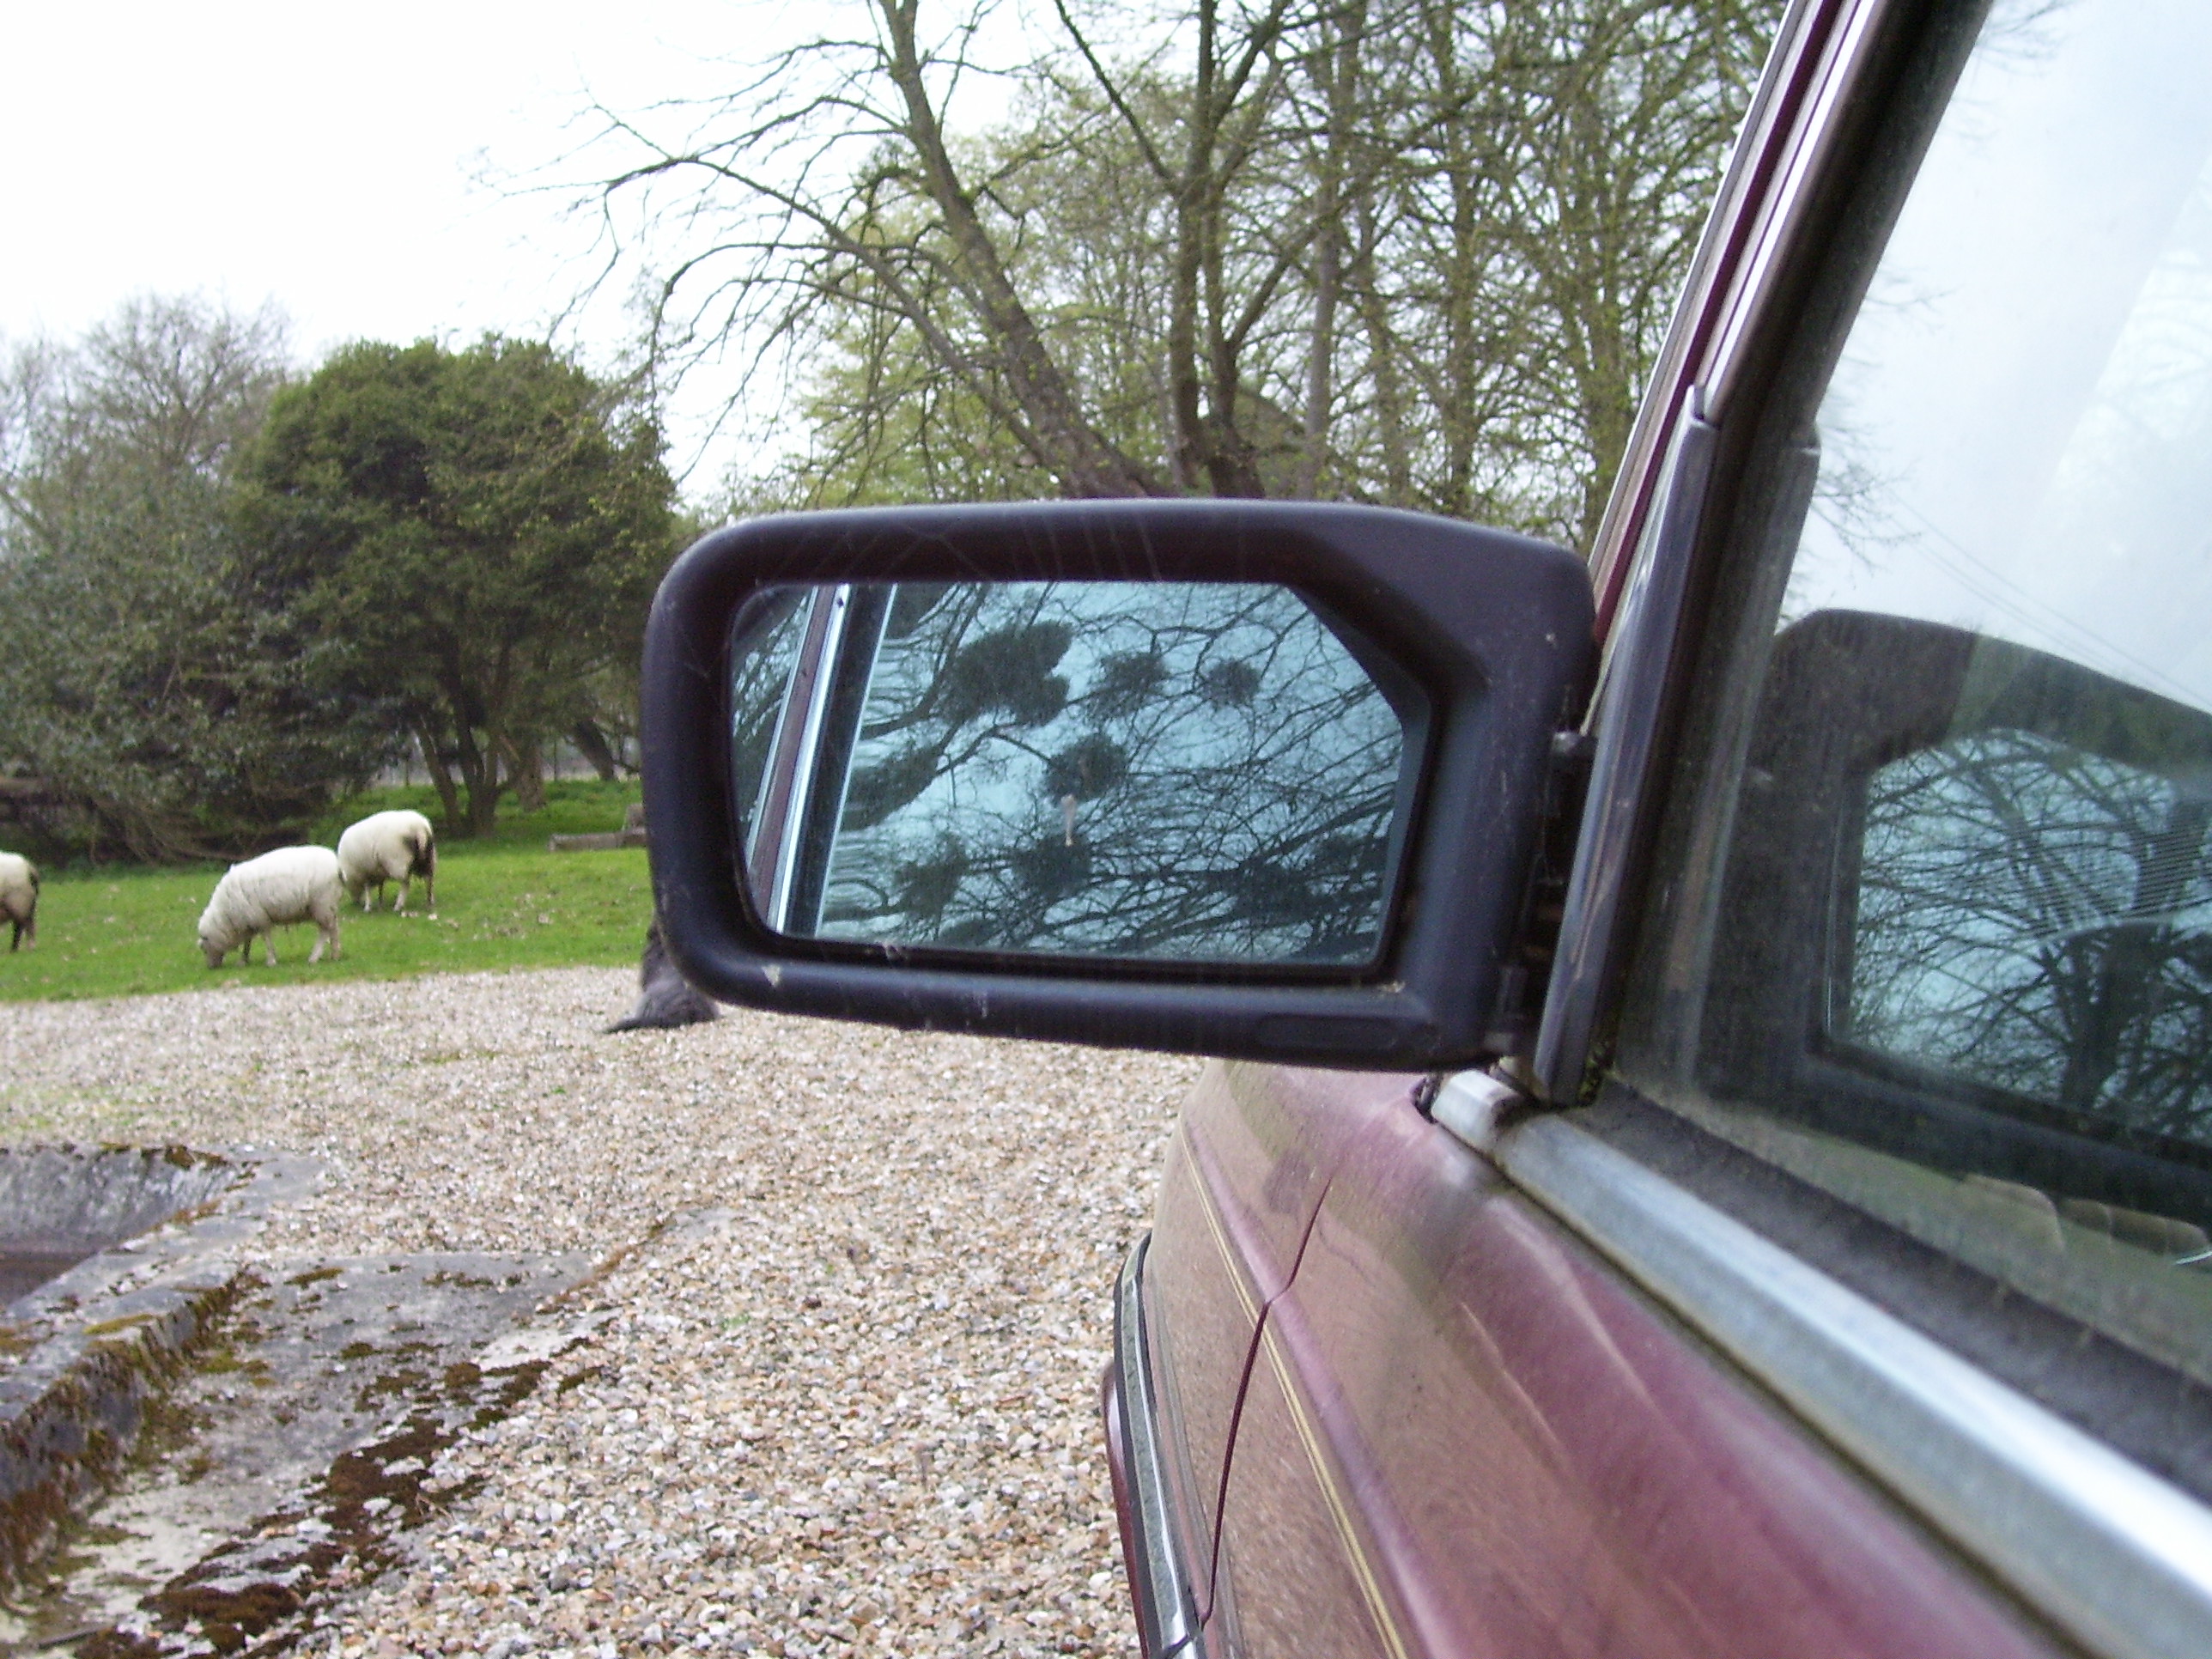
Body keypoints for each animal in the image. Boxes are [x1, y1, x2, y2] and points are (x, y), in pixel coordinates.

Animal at [198, 849, 343, 969]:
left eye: (204, 949)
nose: (211, 967)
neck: (225, 914)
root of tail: (336, 862)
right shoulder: (248, 921)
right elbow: (247, 942)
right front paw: (243, 960)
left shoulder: (259, 917)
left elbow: (266, 939)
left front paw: (271, 961)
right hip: (328, 906)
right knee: (333, 929)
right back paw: (334, 954)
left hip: (322, 904)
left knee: (326, 931)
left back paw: (316, 957)